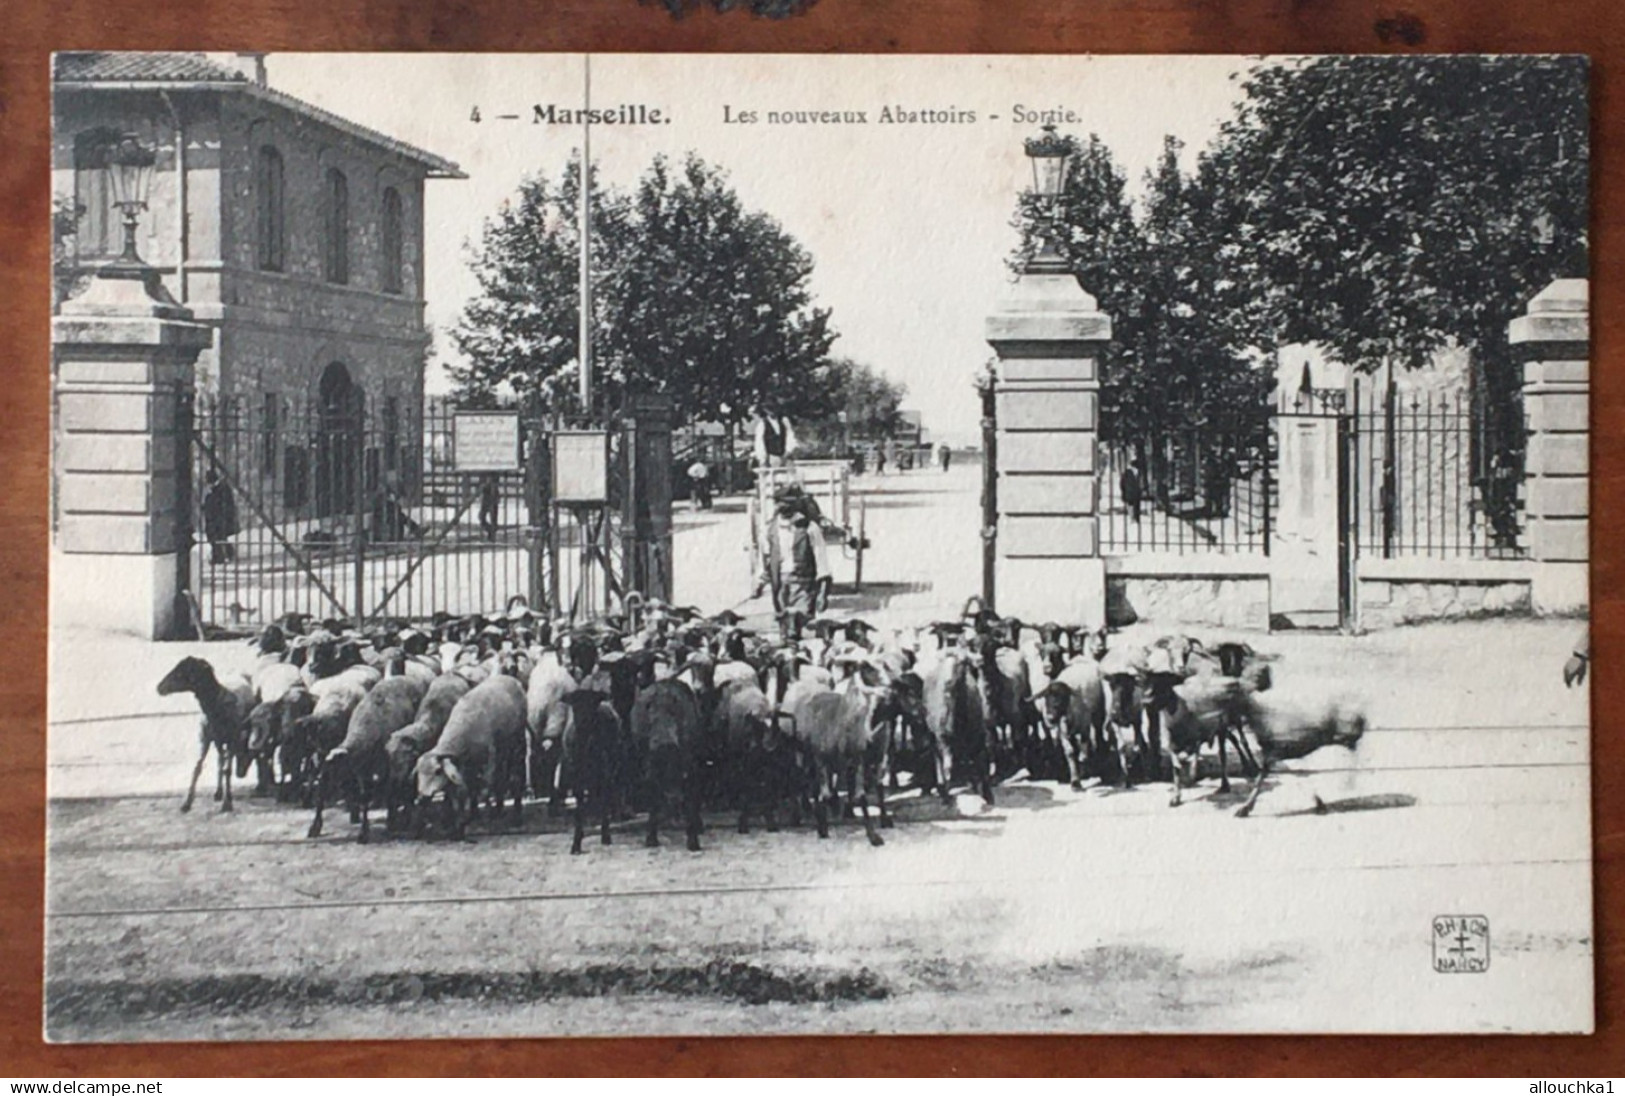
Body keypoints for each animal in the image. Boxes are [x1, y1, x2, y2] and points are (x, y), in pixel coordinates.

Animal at [156, 650, 255, 809]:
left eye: (181, 671)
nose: (159, 687)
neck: (217, 707)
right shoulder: (205, 738)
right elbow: (197, 767)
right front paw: (187, 803)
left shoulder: (232, 739)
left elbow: (228, 769)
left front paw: (227, 803)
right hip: (218, 741)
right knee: (220, 759)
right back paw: (218, 792)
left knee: (225, 762)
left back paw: (224, 794)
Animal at [308, 669, 429, 839]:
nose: (319, 773)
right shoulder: (360, 769)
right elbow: (363, 794)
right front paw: (315, 826)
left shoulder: (382, 765)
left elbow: (377, 791)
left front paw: (381, 825)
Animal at [412, 673, 526, 839]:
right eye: (419, 773)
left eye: (438, 771)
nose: (422, 797)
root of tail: (509, 677)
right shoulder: (463, 765)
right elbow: (459, 795)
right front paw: (459, 826)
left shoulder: (489, 761)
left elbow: (484, 790)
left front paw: (476, 818)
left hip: (517, 741)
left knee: (515, 775)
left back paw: (515, 813)